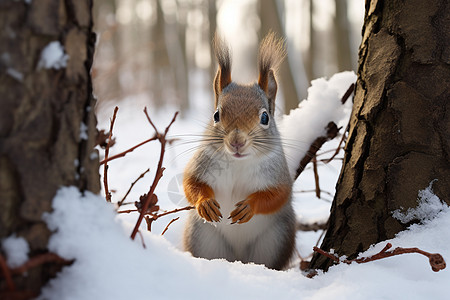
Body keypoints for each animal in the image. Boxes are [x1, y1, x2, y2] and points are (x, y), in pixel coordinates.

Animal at [183, 32, 296, 270]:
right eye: (216, 115)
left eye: (265, 117)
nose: (237, 141)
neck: (238, 162)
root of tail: (238, 259)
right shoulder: (201, 164)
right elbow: (191, 183)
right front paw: (205, 203)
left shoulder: (278, 174)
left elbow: (278, 195)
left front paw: (249, 206)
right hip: (203, 238)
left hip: (275, 240)